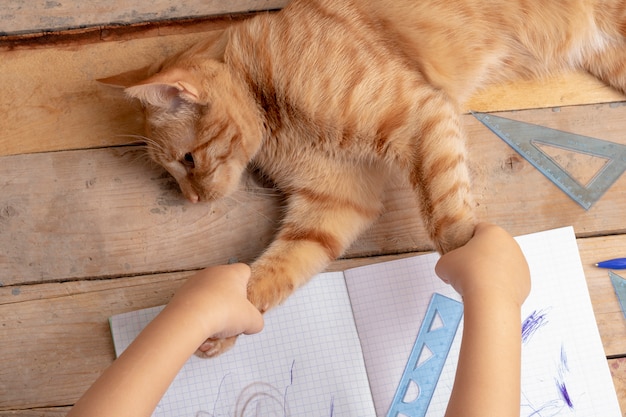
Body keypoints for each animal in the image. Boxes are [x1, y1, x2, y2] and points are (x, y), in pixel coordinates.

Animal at [101, 0, 624, 354]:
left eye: (188, 160)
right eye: (173, 171)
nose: (189, 200)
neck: (271, 106)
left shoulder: (418, 115)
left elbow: (447, 219)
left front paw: (479, 273)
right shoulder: (335, 203)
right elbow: (276, 270)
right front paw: (222, 320)